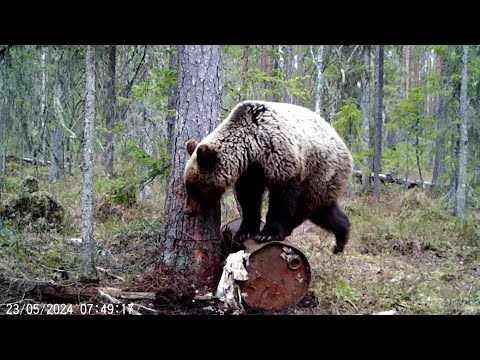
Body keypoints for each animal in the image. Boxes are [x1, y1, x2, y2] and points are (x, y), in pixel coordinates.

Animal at [184, 99, 352, 253]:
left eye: (195, 188)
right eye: (188, 186)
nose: (188, 211)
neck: (252, 147)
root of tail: (344, 147)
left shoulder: (279, 157)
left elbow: (281, 199)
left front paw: (267, 234)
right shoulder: (251, 169)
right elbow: (249, 196)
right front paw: (244, 231)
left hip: (320, 170)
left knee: (307, 204)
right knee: (324, 210)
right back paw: (340, 238)